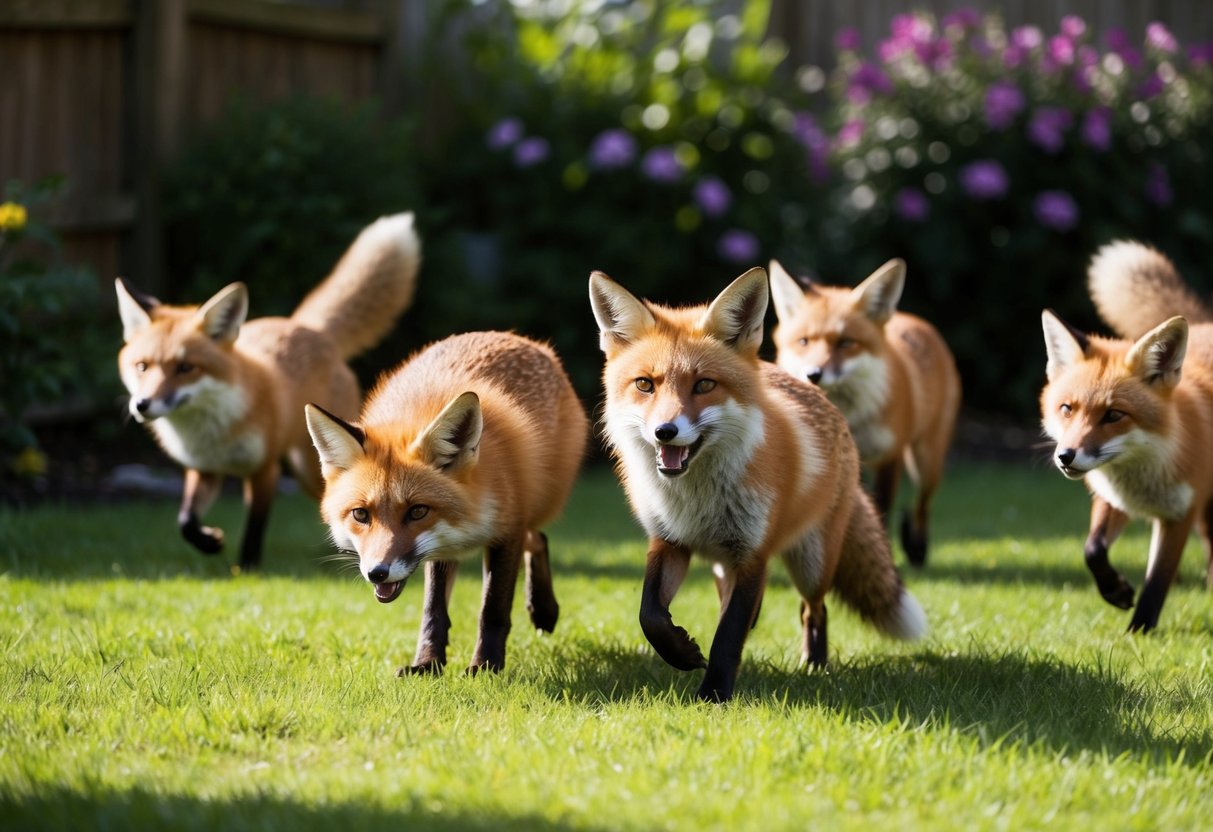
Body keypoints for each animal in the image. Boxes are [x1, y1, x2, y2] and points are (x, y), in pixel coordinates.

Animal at [116, 213, 420, 570]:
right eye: (142, 366)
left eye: (185, 368)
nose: (142, 404)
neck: (214, 430)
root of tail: (307, 327)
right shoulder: (204, 469)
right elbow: (186, 521)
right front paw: (209, 542)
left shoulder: (264, 469)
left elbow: (255, 525)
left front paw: (247, 567)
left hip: (308, 469)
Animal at [304, 331, 588, 674]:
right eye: (360, 514)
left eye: (417, 511)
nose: (377, 573)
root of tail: (518, 338)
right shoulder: (441, 549)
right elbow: (433, 611)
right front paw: (427, 665)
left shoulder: (508, 531)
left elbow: (492, 609)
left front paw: (485, 666)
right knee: (537, 540)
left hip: (536, 501)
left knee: (538, 538)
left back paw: (544, 609)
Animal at [590, 267, 926, 702]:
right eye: (645, 384)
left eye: (704, 385)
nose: (665, 431)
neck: (697, 502)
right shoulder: (669, 541)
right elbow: (650, 616)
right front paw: (682, 652)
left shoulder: (753, 554)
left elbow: (728, 634)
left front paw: (713, 694)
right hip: (723, 567)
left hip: (812, 565)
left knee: (814, 609)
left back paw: (814, 665)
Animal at [768, 258, 961, 567]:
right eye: (804, 341)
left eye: (846, 343)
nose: (814, 374)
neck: (850, 418)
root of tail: (912, 319)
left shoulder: (889, 456)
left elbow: (882, 510)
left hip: (927, 462)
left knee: (922, 505)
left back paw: (917, 548)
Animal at [1041, 240, 1213, 632]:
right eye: (1067, 409)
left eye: (1114, 415)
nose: (1065, 456)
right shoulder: (1112, 499)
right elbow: (1092, 550)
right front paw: (1115, 591)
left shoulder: (1180, 514)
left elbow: (1157, 583)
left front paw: (1139, 633)